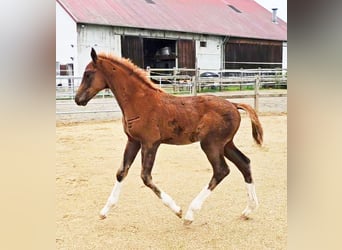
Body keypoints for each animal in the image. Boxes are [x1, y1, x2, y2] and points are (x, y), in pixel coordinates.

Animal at [74, 48, 262, 225]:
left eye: (88, 74)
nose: (77, 99)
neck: (140, 102)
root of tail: (234, 104)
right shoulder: (133, 141)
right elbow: (121, 172)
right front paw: (104, 211)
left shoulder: (150, 143)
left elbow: (145, 177)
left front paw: (177, 209)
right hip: (226, 144)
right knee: (244, 163)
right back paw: (248, 210)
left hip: (211, 144)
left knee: (221, 170)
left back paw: (190, 214)